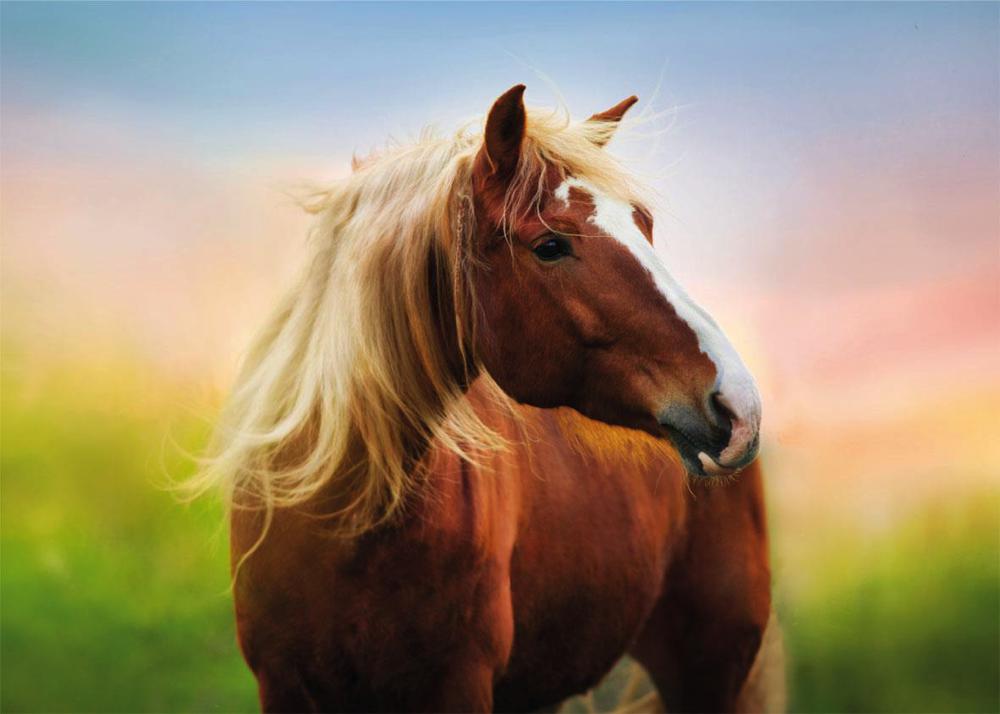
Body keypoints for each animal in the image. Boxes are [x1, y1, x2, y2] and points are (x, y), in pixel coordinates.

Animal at [198, 85, 780, 713]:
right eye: (550, 245)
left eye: (643, 225)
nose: (739, 405)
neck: (342, 522)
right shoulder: (282, 683)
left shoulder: (458, 684)